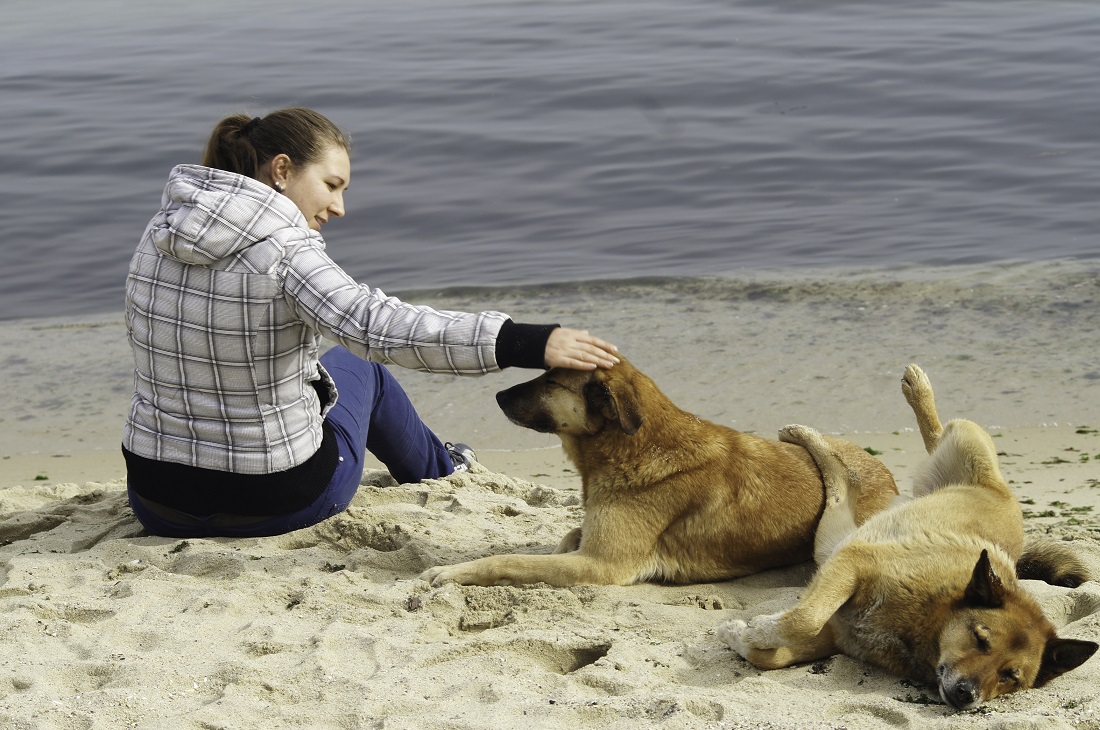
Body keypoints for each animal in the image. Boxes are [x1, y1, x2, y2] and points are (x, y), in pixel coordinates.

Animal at [415, 354, 897, 589]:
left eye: (551, 382)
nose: (496, 395)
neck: (632, 446)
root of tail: (886, 473)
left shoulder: (599, 565)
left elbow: (511, 560)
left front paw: (454, 573)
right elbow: (564, 538)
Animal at [717, 367, 1095, 708]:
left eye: (1010, 676)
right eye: (980, 638)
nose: (965, 695)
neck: (934, 612)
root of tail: (1000, 492)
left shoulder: (836, 632)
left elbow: (775, 653)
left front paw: (741, 635)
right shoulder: (851, 565)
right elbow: (802, 621)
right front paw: (752, 630)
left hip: (831, 541)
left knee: (844, 482)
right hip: (965, 440)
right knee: (937, 433)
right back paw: (913, 388)